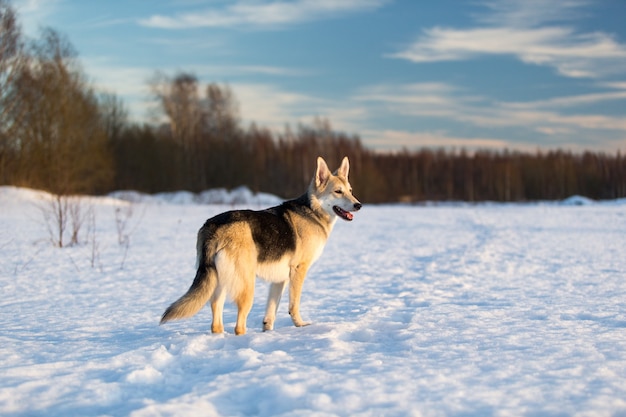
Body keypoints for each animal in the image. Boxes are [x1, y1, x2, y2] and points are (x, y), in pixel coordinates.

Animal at [160, 156, 360, 334]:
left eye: (350, 190)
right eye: (338, 192)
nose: (358, 205)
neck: (313, 212)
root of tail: (214, 227)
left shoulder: (280, 279)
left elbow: (270, 312)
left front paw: (268, 332)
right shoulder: (298, 271)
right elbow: (293, 306)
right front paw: (301, 326)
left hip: (220, 282)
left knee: (216, 322)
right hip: (247, 287)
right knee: (239, 327)